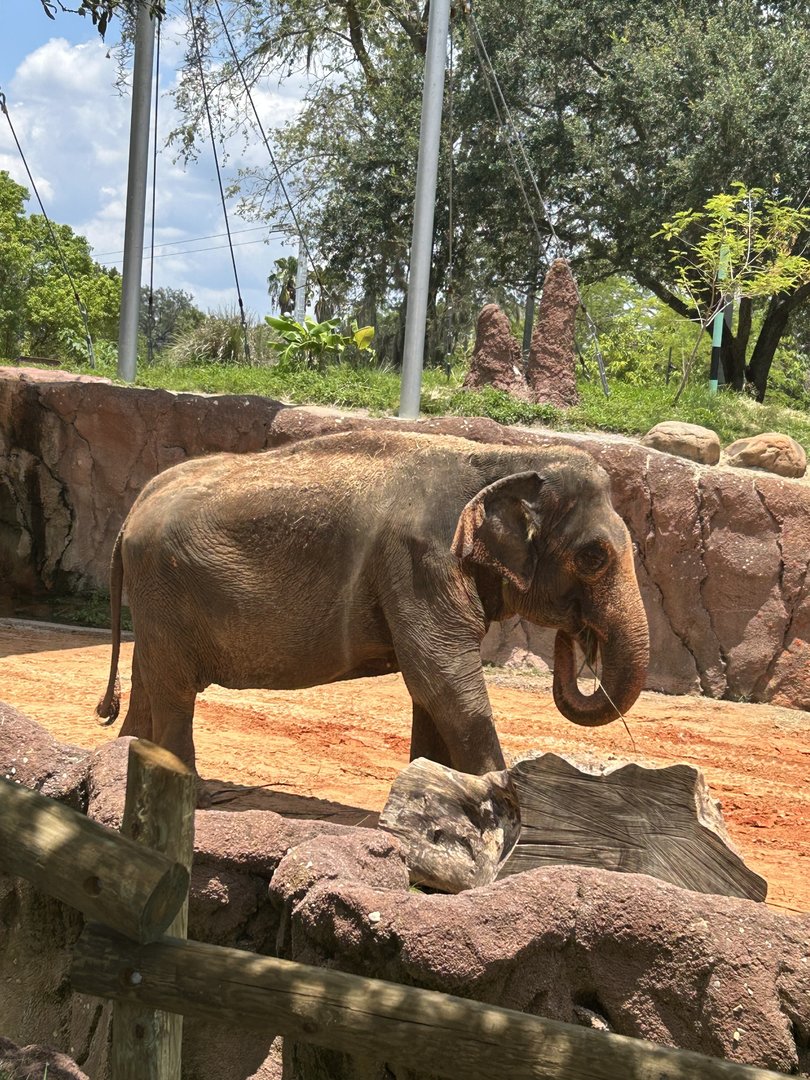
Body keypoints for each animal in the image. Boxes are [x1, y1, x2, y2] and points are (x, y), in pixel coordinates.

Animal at [96, 429, 649, 778]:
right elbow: (443, 677)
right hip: (165, 588)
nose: (577, 636)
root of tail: (135, 507)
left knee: (150, 676)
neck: (502, 458)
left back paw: (119, 758)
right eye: (594, 556)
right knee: (174, 691)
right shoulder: (418, 562)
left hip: (157, 601)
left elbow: (431, 691)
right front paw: (501, 803)